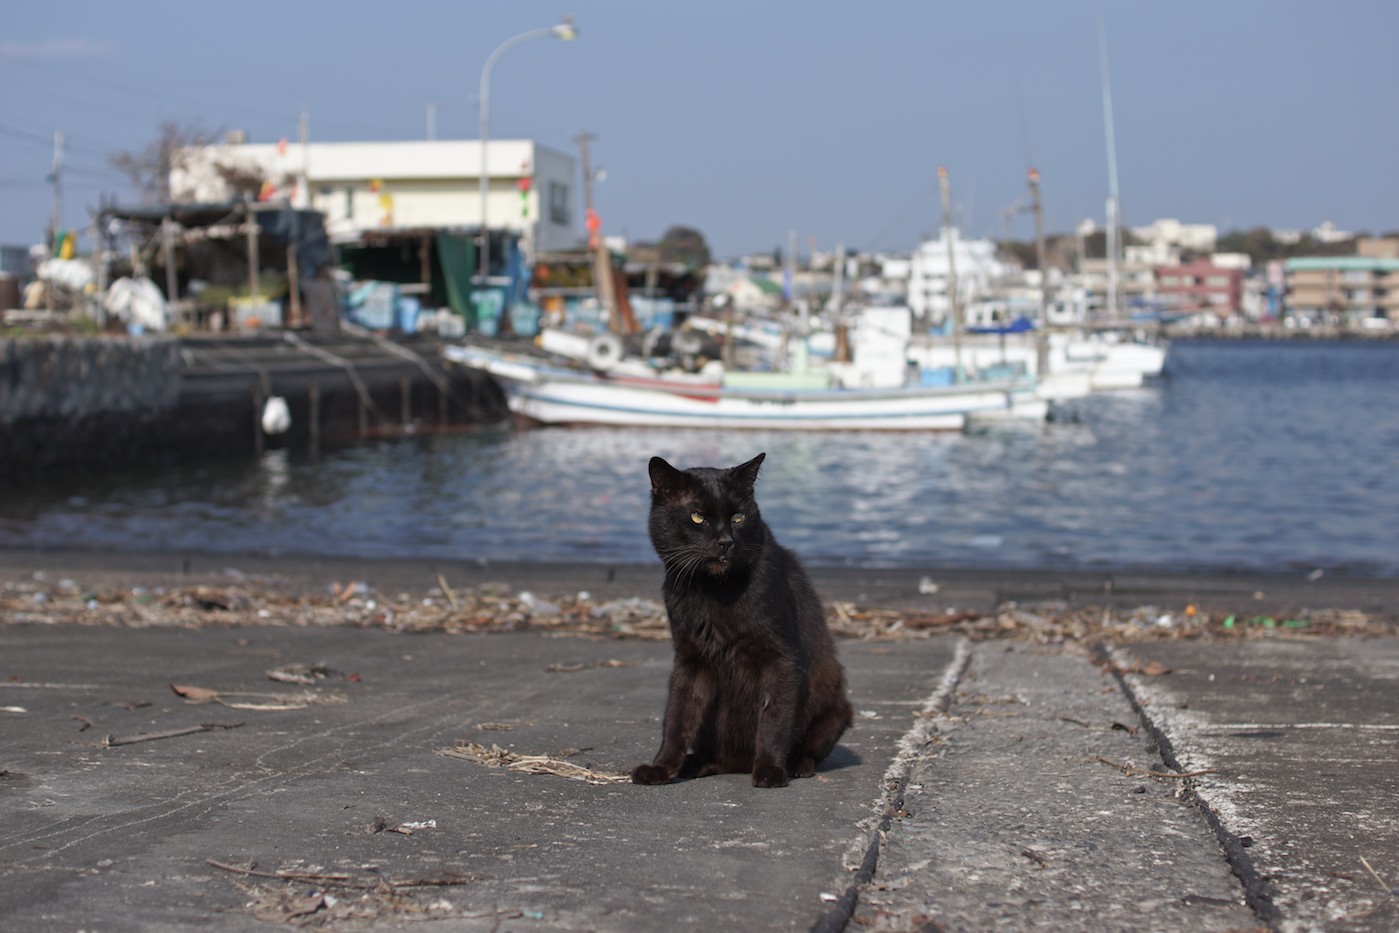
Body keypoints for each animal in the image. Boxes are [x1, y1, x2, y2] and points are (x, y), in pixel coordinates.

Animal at [635, 453, 850, 788]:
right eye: (697, 517)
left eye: (738, 517)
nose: (725, 541)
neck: (712, 590)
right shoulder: (689, 660)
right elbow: (677, 717)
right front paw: (661, 767)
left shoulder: (782, 656)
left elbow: (773, 717)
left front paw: (771, 770)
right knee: (717, 755)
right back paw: (696, 764)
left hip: (837, 706)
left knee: (809, 748)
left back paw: (795, 765)